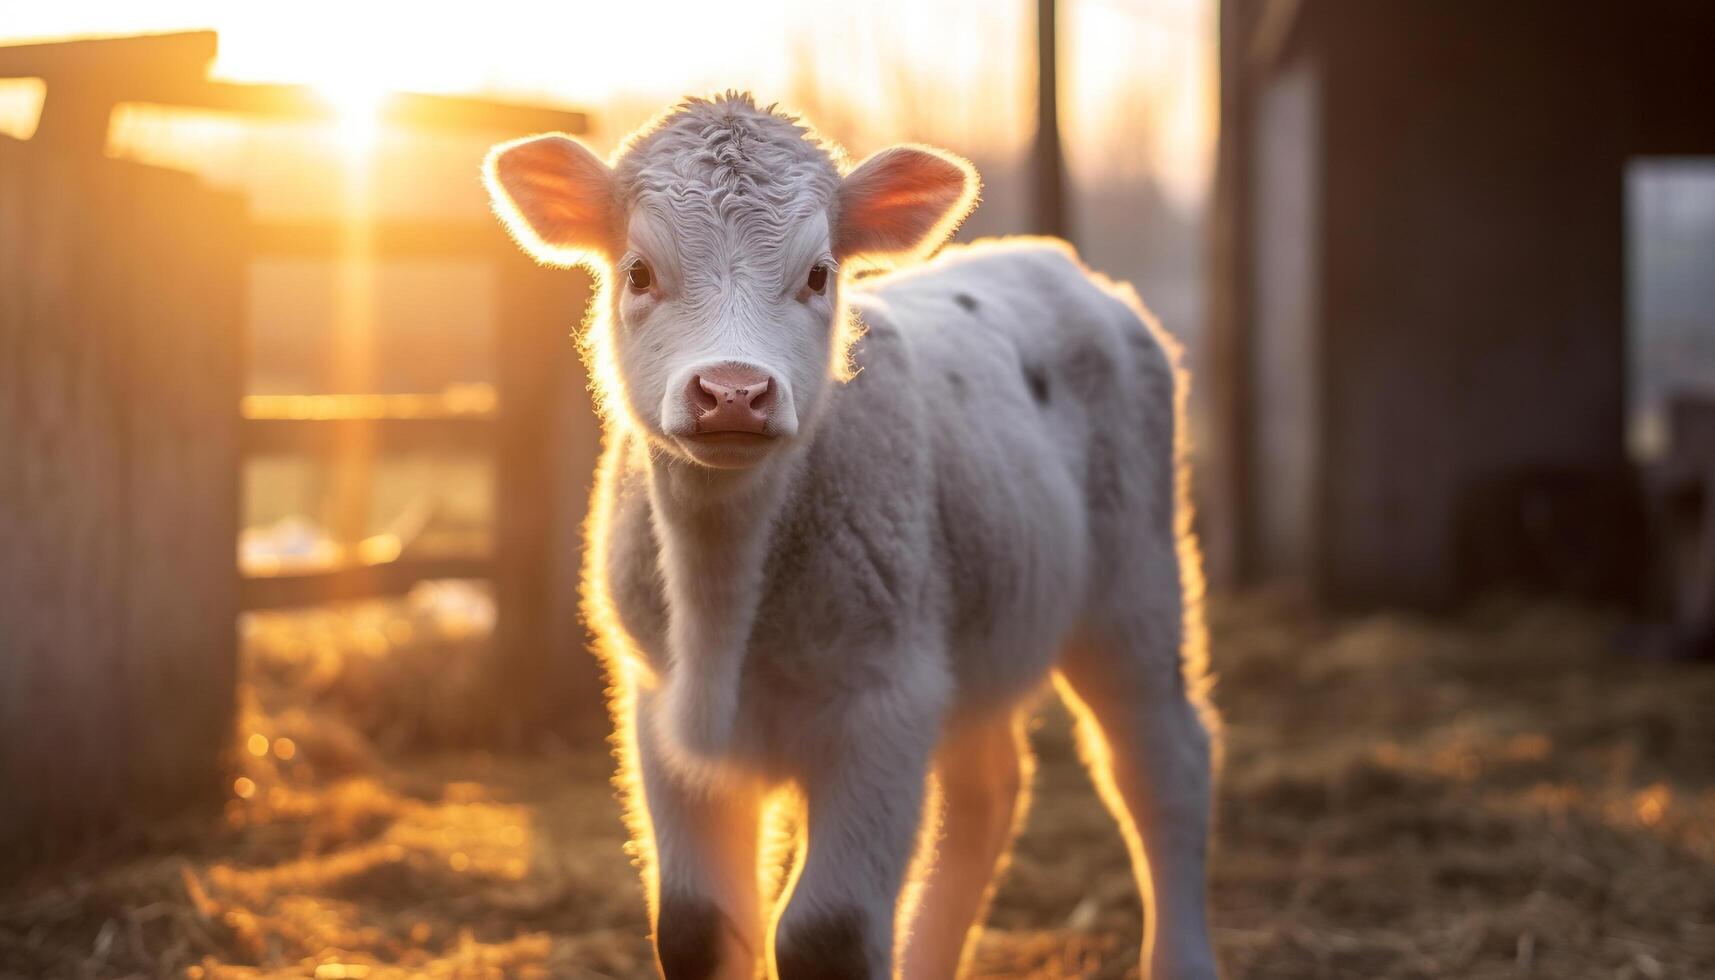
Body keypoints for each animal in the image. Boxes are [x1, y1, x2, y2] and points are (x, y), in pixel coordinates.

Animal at [483, 93, 1221, 980]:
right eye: (638, 272)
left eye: (817, 275)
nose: (733, 393)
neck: (722, 597)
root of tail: (1055, 260)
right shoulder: (659, 704)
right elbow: (696, 924)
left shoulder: (881, 701)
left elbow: (825, 930)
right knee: (986, 790)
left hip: (1134, 586)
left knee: (1161, 764)